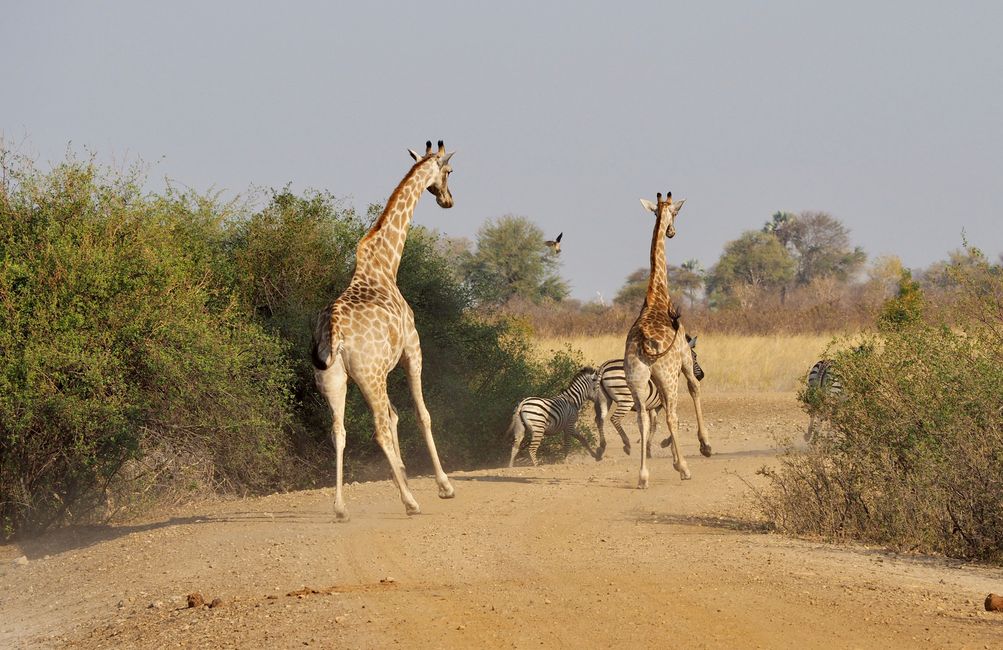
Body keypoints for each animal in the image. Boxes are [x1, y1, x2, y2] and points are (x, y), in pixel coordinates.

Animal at [310, 139, 457, 521]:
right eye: (449, 171)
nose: (448, 200)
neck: (386, 265)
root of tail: (334, 331)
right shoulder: (412, 350)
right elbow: (421, 414)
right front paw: (444, 486)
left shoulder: (387, 368)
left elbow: (395, 418)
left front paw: (402, 477)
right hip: (369, 375)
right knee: (377, 430)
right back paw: (411, 502)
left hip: (335, 380)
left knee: (339, 430)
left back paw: (341, 507)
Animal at [621, 190, 702, 485]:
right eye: (676, 212)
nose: (672, 231)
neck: (657, 293)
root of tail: (645, 343)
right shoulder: (686, 360)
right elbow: (695, 388)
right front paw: (705, 446)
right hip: (667, 377)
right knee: (671, 416)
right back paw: (686, 469)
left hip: (636, 379)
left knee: (642, 419)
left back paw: (643, 475)